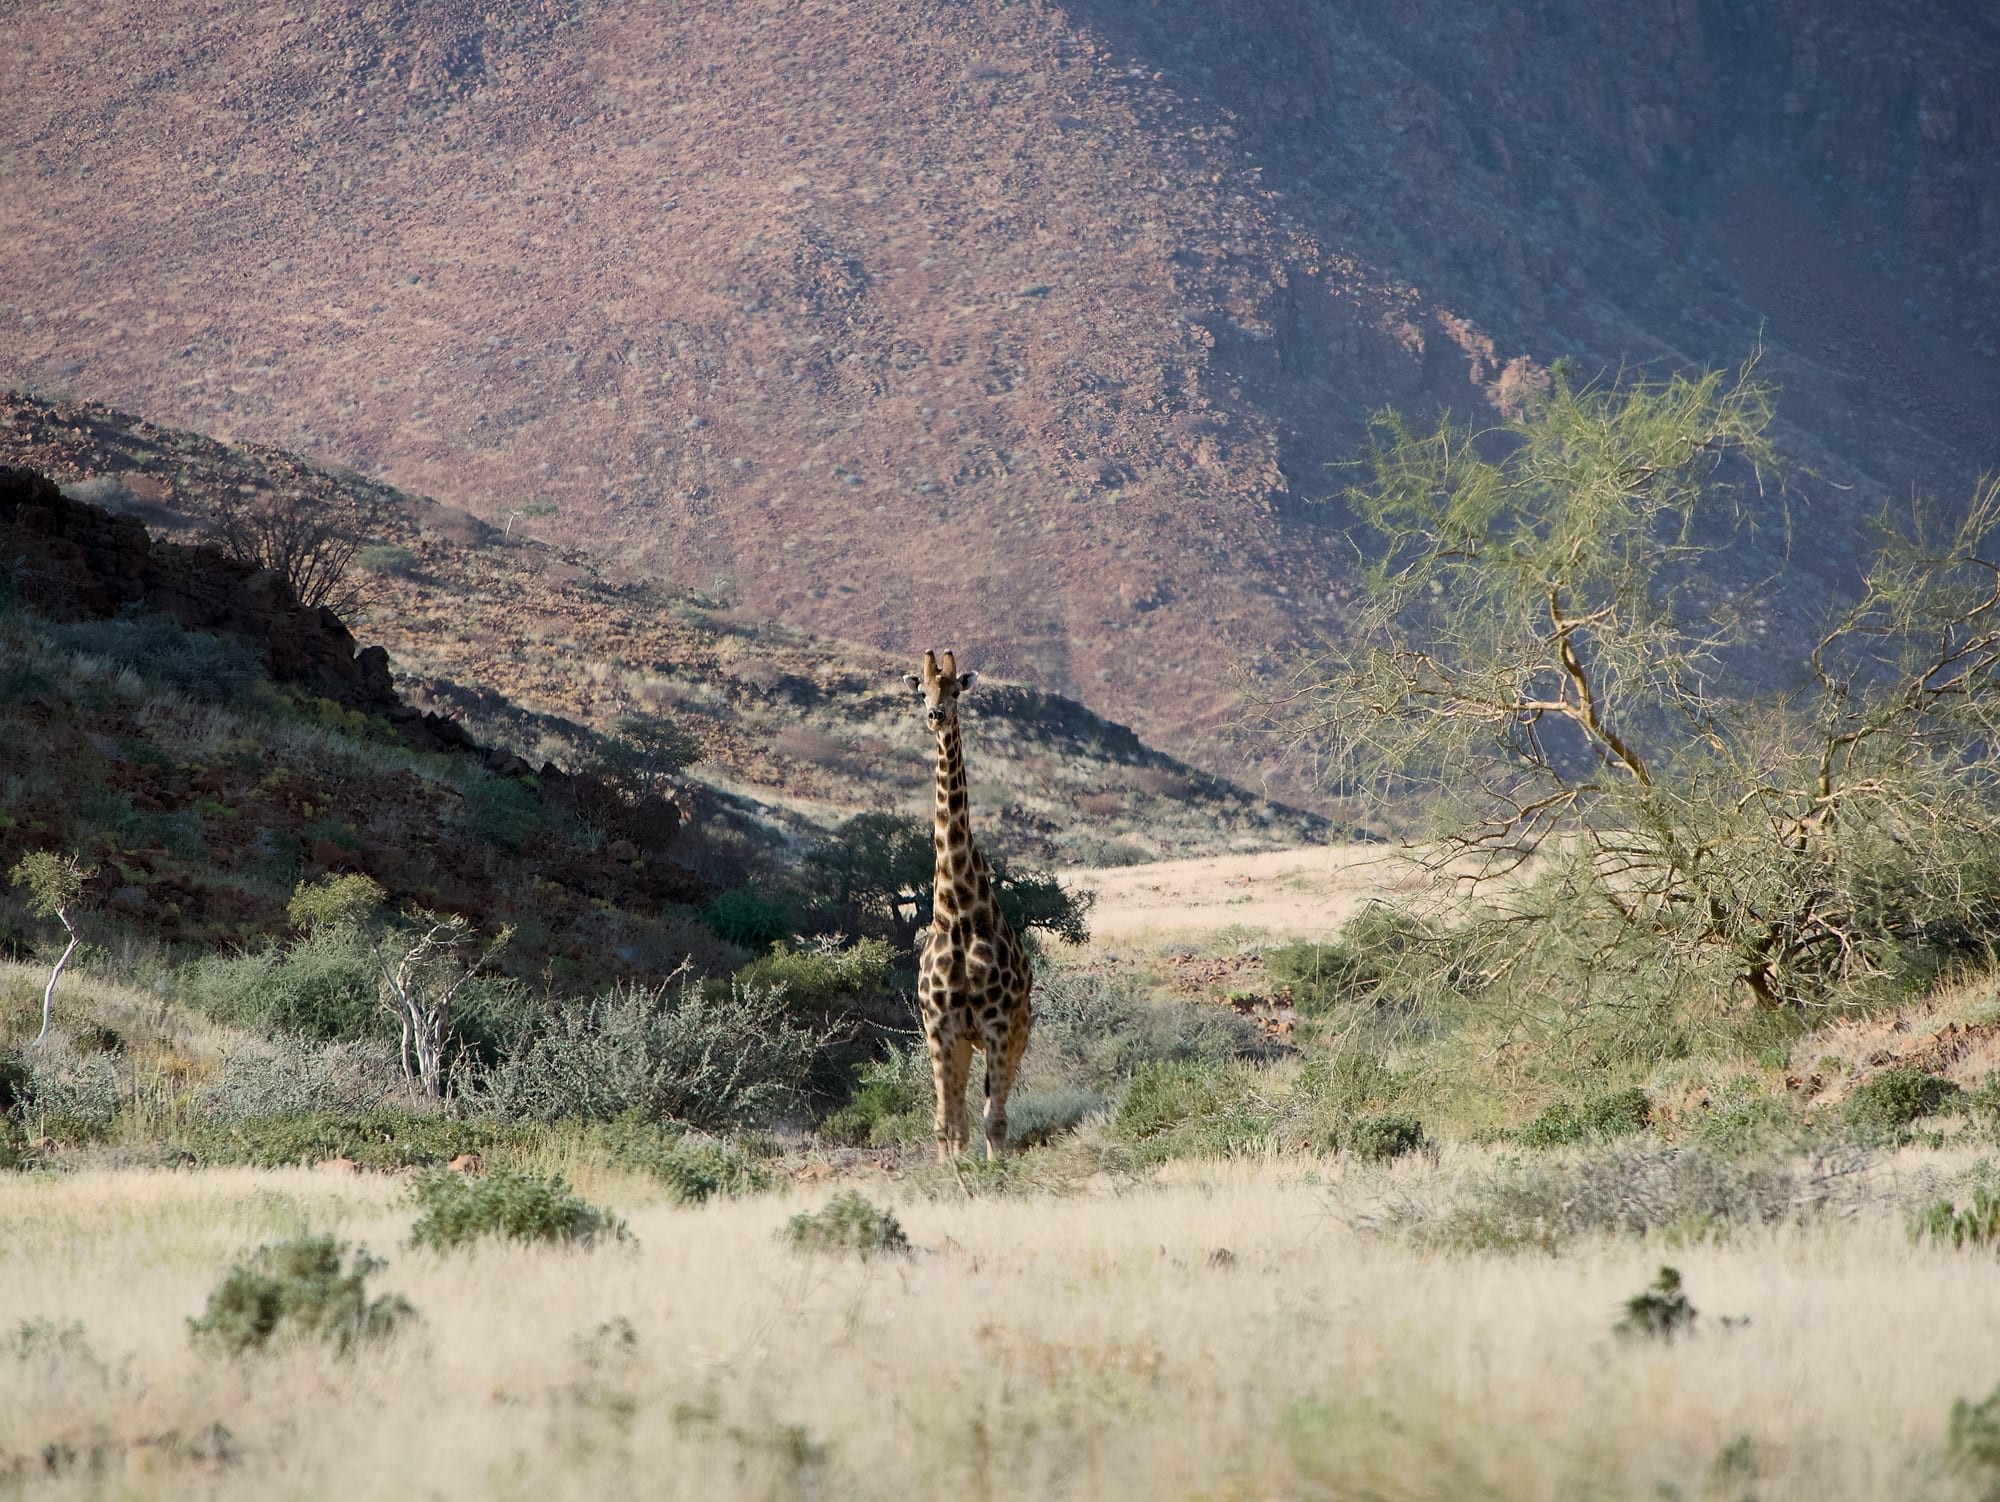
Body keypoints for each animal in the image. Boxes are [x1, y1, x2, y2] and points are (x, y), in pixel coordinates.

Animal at [904, 649, 1033, 1161]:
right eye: (921, 690)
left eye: (957, 689)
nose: (935, 716)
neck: (957, 913)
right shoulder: (939, 1027)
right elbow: (947, 1126)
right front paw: (950, 1172)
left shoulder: (997, 1024)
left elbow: (994, 1122)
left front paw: (995, 1172)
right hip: (964, 1041)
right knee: (960, 1115)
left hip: (1017, 1032)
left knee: (997, 1108)